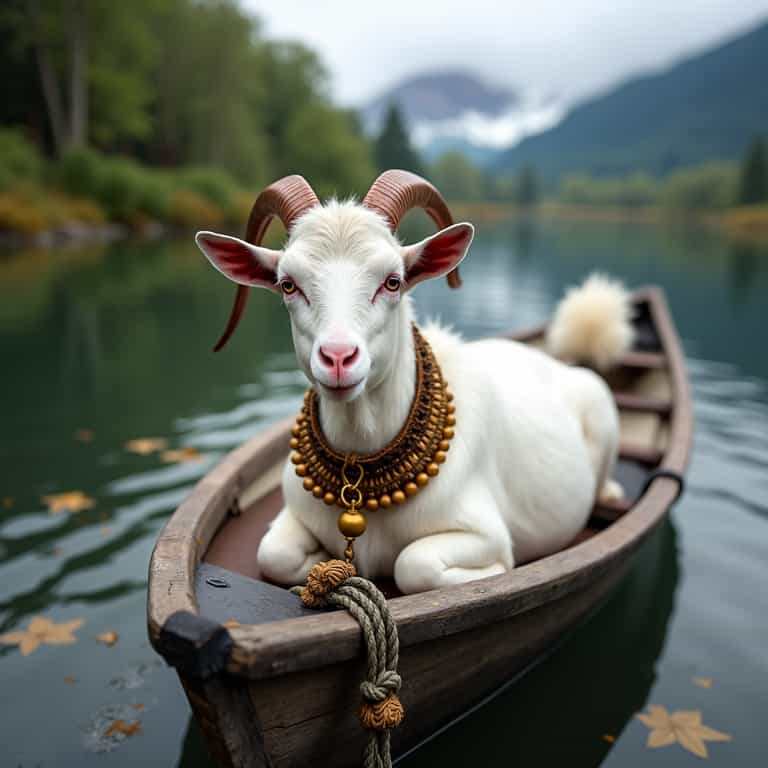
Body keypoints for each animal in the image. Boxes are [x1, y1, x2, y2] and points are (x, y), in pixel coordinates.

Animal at [195, 171, 632, 594]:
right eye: (288, 284)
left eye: (393, 281)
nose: (338, 358)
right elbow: (274, 554)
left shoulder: (483, 532)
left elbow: (414, 565)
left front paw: (494, 572)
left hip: (602, 409)